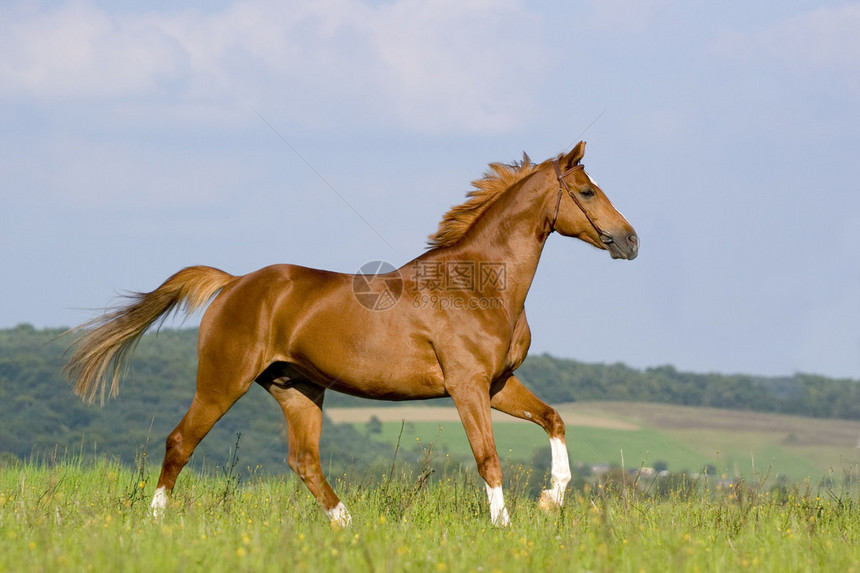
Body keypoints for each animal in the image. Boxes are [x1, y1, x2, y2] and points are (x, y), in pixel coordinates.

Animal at [63, 141, 636, 524]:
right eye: (587, 191)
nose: (631, 241)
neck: (476, 284)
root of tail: (232, 283)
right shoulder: (467, 385)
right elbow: (488, 458)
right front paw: (505, 527)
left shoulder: (497, 383)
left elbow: (554, 419)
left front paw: (551, 499)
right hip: (223, 381)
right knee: (181, 441)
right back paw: (156, 522)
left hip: (297, 388)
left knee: (304, 461)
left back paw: (350, 526)